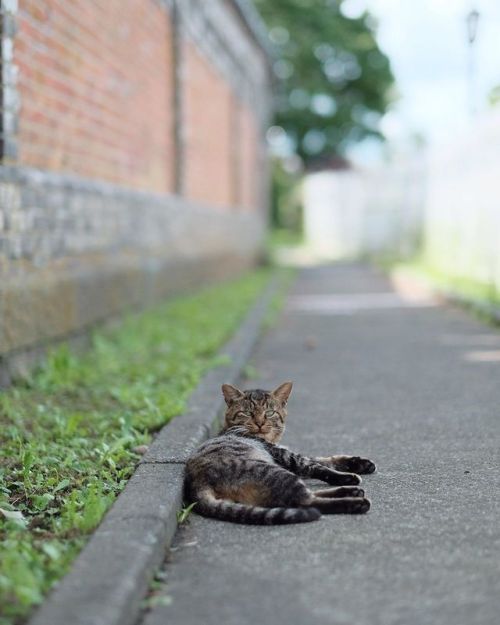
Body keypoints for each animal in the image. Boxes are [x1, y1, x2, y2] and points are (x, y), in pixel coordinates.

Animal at [185, 382, 376, 524]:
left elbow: (324, 459)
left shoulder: (285, 455)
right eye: (247, 413)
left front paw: (359, 463)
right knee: (307, 502)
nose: (260, 423)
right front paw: (346, 476)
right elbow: (316, 466)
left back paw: (352, 492)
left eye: (269, 413)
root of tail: (198, 483)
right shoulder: (287, 457)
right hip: (274, 472)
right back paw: (355, 502)